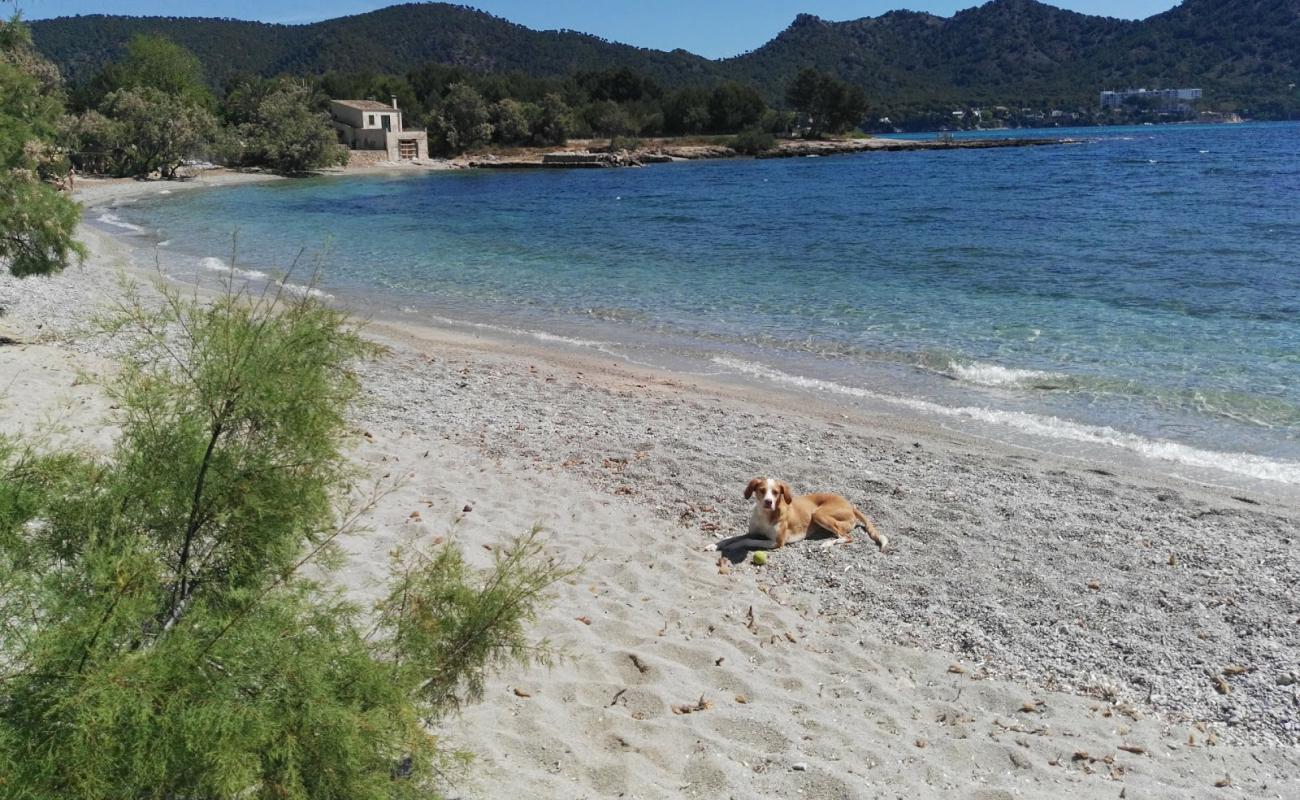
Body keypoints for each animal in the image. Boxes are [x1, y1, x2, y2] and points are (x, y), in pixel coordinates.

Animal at [707, 478, 889, 554]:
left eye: (776, 492)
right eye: (761, 490)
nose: (768, 502)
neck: (765, 515)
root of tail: (851, 505)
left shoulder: (777, 542)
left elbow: (746, 541)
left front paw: (732, 547)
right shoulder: (752, 532)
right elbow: (730, 537)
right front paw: (714, 545)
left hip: (819, 514)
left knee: (847, 537)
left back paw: (827, 544)